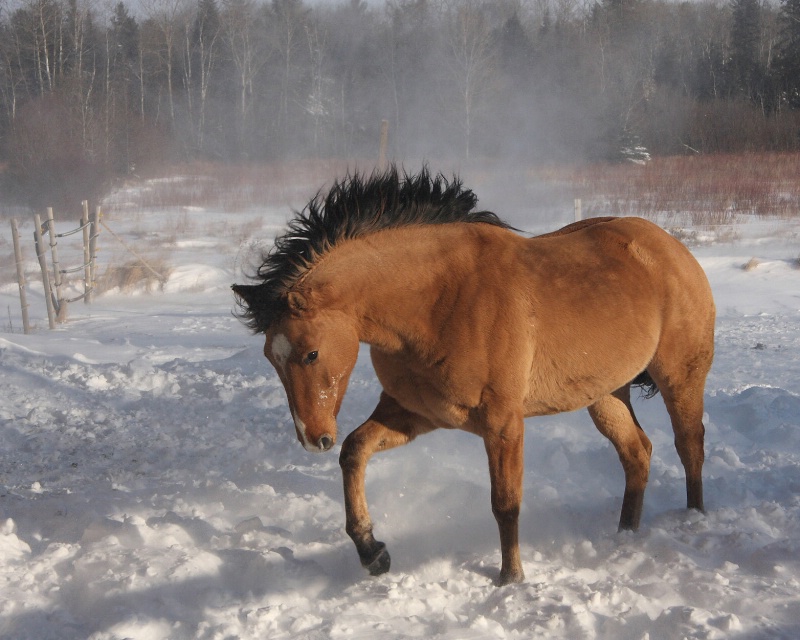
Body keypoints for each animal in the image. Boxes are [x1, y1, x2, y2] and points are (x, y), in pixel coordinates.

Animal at [234, 165, 716, 584]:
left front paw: (510, 578)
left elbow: (505, 503)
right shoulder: (415, 414)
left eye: (311, 353)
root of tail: (670, 247)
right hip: (606, 394)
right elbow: (354, 452)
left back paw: (695, 518)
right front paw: (373, 552)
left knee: (689, 444)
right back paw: (625, 534)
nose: (312, 438)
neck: (436, 300)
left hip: (680, 377)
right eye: (270, 357)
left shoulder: (503, 424)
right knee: (637, 453)